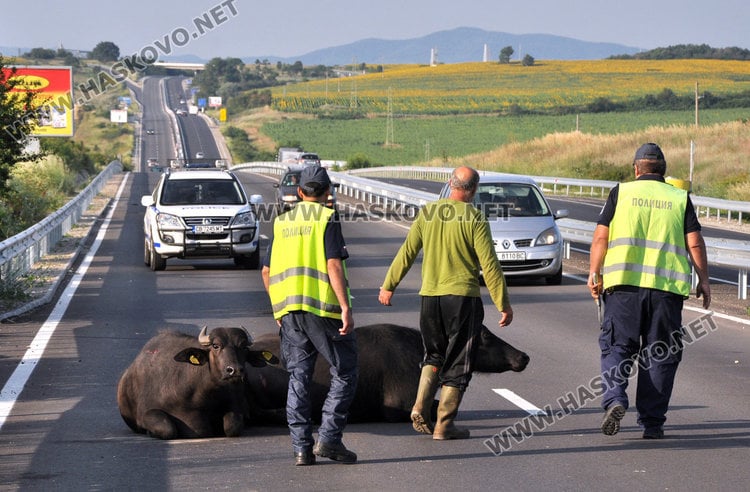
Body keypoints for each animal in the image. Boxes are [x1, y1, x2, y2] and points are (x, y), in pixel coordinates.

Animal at [119, 326, 278, 438]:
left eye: (243, 347)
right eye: (215, 346)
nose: (235, 370)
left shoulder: (236, 406)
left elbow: (232, 426)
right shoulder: (146, 413)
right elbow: (167, 429)